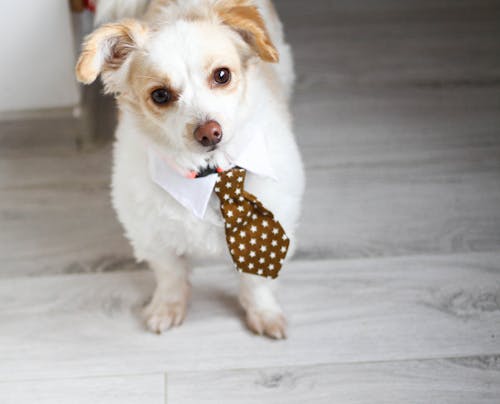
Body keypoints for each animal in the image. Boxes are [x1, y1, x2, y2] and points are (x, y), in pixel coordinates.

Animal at [76, 0, 304, 340]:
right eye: (160, 95)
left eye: (222, 75)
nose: (209, 132)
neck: (210, 176)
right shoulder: (151, 235)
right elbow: (170, 276)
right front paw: (167, 307)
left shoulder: (272, 223)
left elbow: (256, 282)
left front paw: (263, 313)